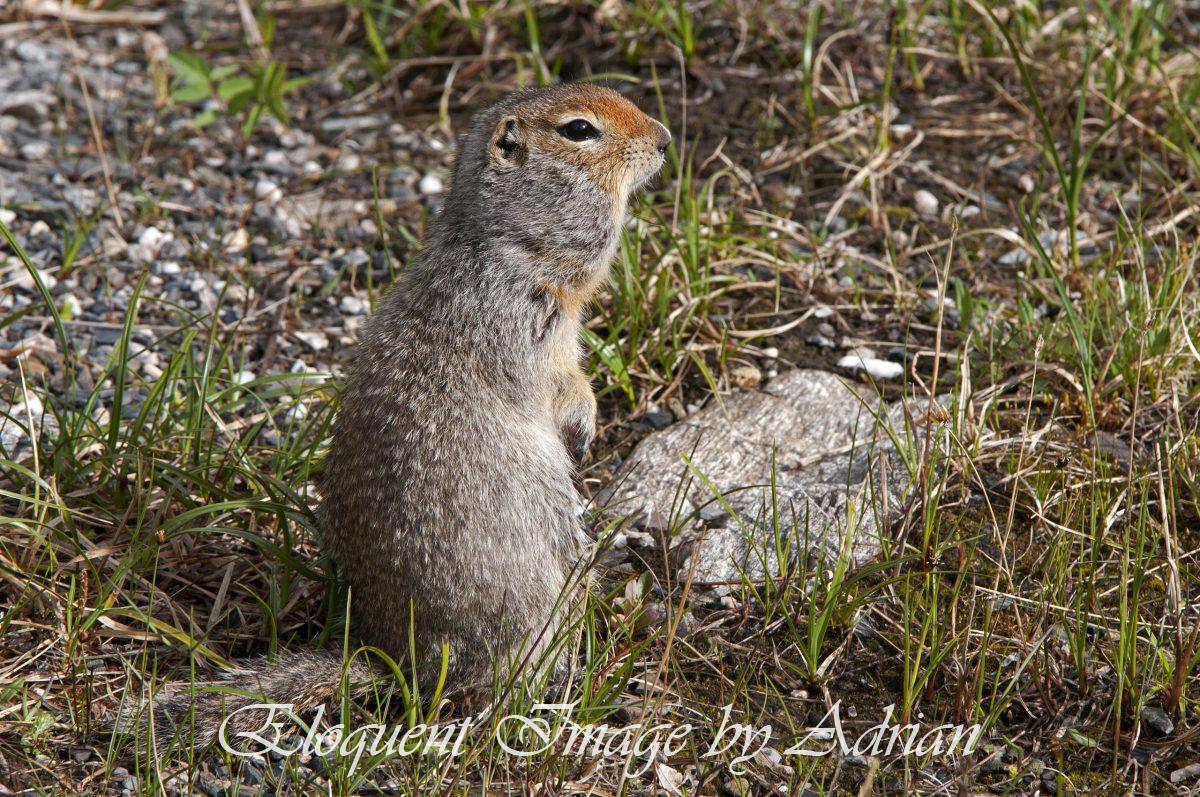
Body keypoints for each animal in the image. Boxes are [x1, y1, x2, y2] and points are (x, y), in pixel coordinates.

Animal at [138, 83, 670, 749]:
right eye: (579, 130)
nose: (664, 139)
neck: (502, 243)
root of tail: (396, 662)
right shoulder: (526, 325)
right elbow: (561, 387)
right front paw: (583, 428)